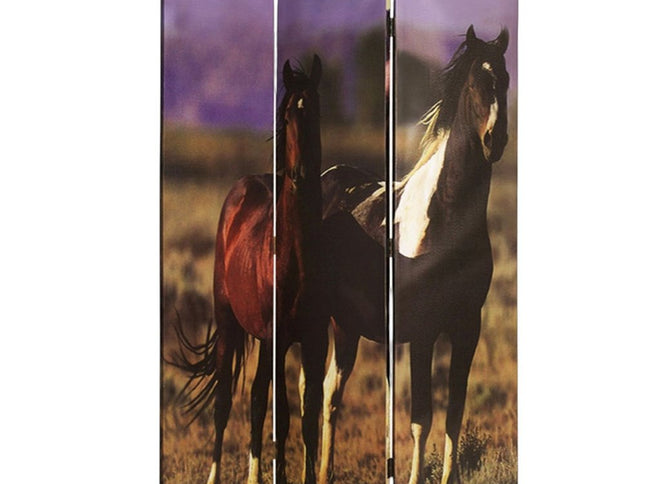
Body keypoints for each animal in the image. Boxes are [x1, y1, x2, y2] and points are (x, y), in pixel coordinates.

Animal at [171, 55, 327, 484]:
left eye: (316, 111)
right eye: (287, 114)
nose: (302, 174)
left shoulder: (313, 339)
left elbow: (307, 417)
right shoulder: (277, 338)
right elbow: (279, 414)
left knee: (257, 399)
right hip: (229, 322)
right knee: (227, 401)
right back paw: (221, 474)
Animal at [317, 26, 509, 484]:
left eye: (507, 80)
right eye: (475, 83)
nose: (495, 141)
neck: (446, 217)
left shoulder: (467, 326)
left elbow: (454, 412)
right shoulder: (423, 332)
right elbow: (422, 417)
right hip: (339, 324)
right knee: (329, 392)